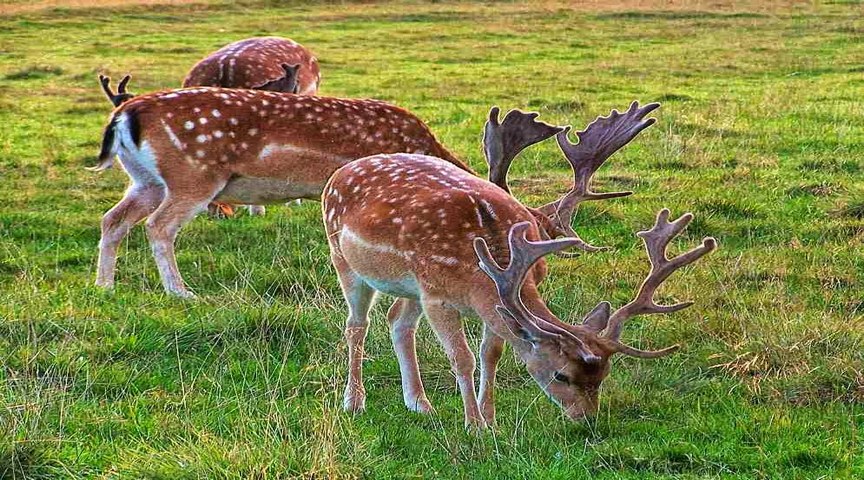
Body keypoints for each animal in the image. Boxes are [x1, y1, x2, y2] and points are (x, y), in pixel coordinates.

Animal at [322, 101, 716, 428]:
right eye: (561, 375)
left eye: (604, 375)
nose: (587, 420)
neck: (482, 266)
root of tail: (339, 174)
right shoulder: (437, 297)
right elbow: (462, 358)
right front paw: (474, 426)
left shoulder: (484, 298)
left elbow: (491, 354)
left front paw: (490, 419)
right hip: (343, 258)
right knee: (357, 324)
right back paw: (354, 402)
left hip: (409, 285)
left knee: (398, 321)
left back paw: (419, 403)